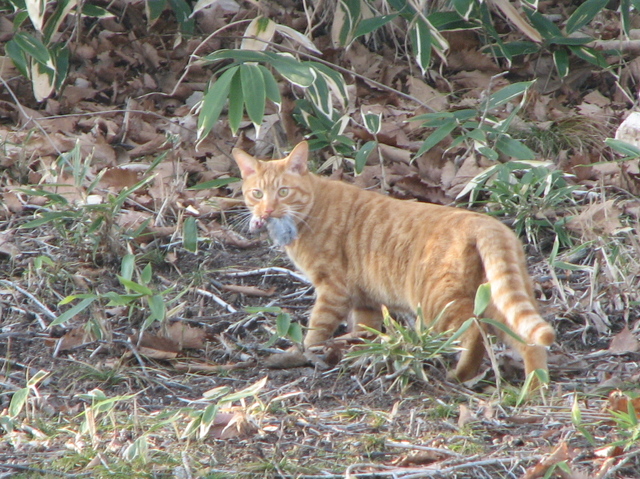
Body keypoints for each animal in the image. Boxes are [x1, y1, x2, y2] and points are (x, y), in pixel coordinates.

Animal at [231, 141, 556, 380]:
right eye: (257, 193)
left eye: (283, 192)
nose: (267, 210)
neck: (310, 210)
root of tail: (488, 223)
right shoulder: (365, 300)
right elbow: (364, 330)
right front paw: (358, 351)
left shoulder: (332, 289)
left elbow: (316, 330)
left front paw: (303, 354)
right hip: (499, 300)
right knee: (530, 343)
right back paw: (534, 388)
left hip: (437, 303)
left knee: (475, 332)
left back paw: (462, 374)